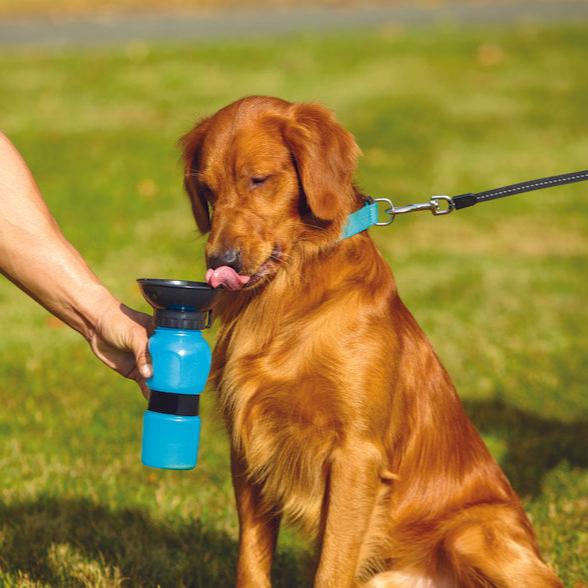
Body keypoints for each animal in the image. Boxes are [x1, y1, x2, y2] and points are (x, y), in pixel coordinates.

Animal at [178, 96, 560, 588]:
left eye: (258, 179)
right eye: (207, 189)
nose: (219, 261)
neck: (288, 294)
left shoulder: (356, 453)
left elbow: (332, 568)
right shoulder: (248, 447)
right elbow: (251, 562)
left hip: (473, 533)